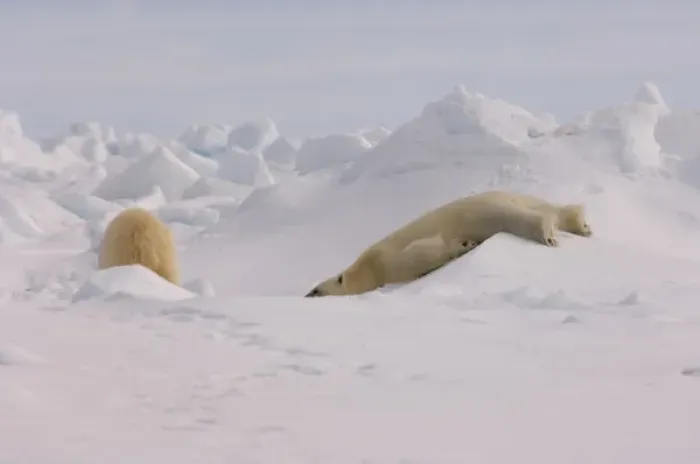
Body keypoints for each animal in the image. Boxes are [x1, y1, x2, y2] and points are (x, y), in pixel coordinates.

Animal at [304, 190, 592, 297]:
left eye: (316, 289)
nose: (307, 295)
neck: (365, 269)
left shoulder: (386, 260)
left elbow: (423, 252)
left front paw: (464, 245)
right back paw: (580, 224)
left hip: (484, 208)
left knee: (515, 217)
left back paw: (547, 232)